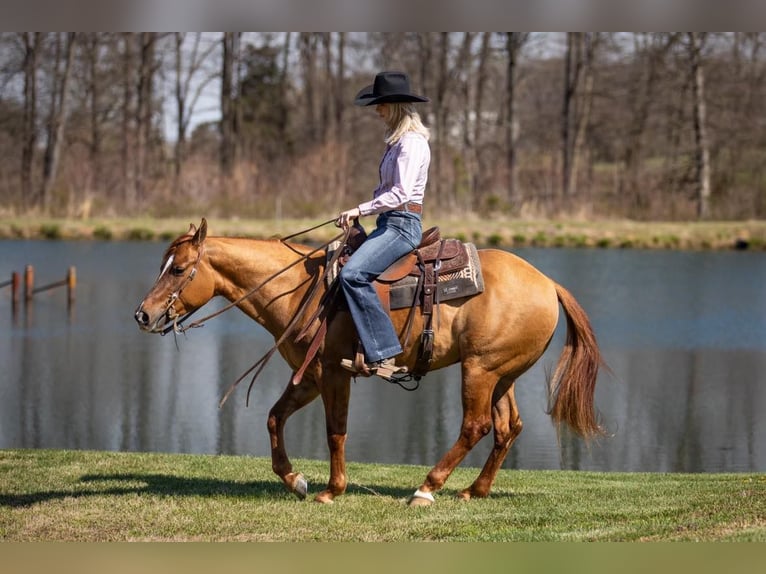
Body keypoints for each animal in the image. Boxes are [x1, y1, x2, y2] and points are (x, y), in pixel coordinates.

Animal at [136, 220, 608, 508]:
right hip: (502, 374)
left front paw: (331, 490)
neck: (301, 289)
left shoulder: (334, 372)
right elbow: (274, 417)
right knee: (509, 428)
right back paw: (475, 490)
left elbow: (335, 432)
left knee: (476, 426)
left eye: (178, 269)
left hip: (479, 370)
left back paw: (427, 488)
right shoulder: (309, 376)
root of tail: (548, 283)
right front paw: (295, 480)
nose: (143, 314)